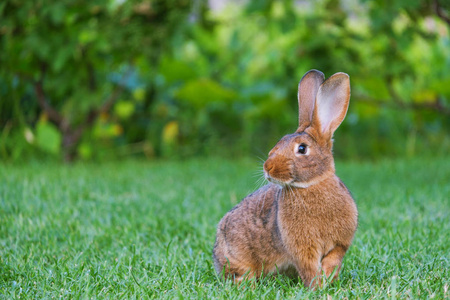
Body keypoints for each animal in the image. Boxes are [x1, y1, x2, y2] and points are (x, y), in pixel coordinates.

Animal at [214, 69, 358, 288]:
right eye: (279, 142)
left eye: (302, 149)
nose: (268, 167)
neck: (311, 184)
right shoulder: (302, 248)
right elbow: (308, 266)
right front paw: (317, 286)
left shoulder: (340, 244)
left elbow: (333, 258)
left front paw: (327, 279)